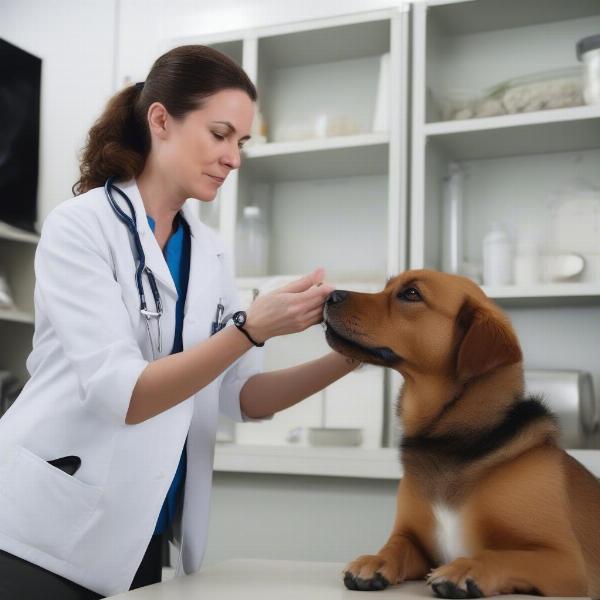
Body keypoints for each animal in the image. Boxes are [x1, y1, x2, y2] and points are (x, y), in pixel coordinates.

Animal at [326, 270, 600, 596]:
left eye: (411, 294)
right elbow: (396, 546)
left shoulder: (565, 562)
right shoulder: (415, 539)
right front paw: (376, 561)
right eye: (387, 286)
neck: (451, 441)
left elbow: (502, 555)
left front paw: (465, 569)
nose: (329, 296)